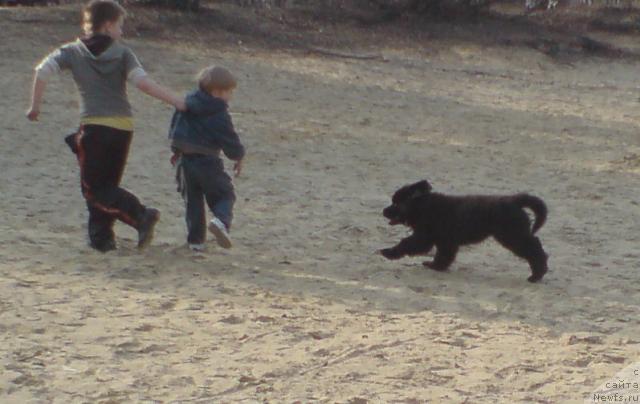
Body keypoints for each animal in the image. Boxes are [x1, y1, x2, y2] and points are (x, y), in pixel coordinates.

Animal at [380, 181, 552, 282]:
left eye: (396, 203)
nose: (383, 211)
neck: (424, 206)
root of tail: (514, 201)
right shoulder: (445, 241)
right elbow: (444, 256)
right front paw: (436, 266)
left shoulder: (424, 236)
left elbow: (406, 243)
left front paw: (388, 252)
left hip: (512, 235)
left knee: (534, 249)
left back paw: (536, 275)